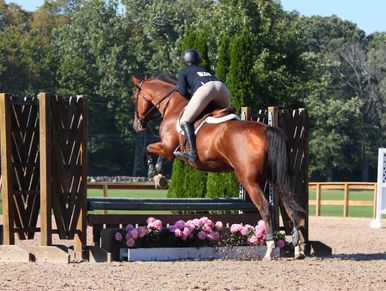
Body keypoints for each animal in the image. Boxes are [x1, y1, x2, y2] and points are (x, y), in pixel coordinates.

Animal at [131, 72, 306, 260]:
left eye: (134, 97)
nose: (137, 125)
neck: (173, 105)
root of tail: (266, 130)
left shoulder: (167, 147)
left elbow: (148, 149)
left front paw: (155, 174)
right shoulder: (167, 147)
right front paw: (159, 176)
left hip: (249, 180)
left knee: (265, 208)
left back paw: (269, 250)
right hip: (275, 178)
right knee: (288, 205)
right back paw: (297, 248)